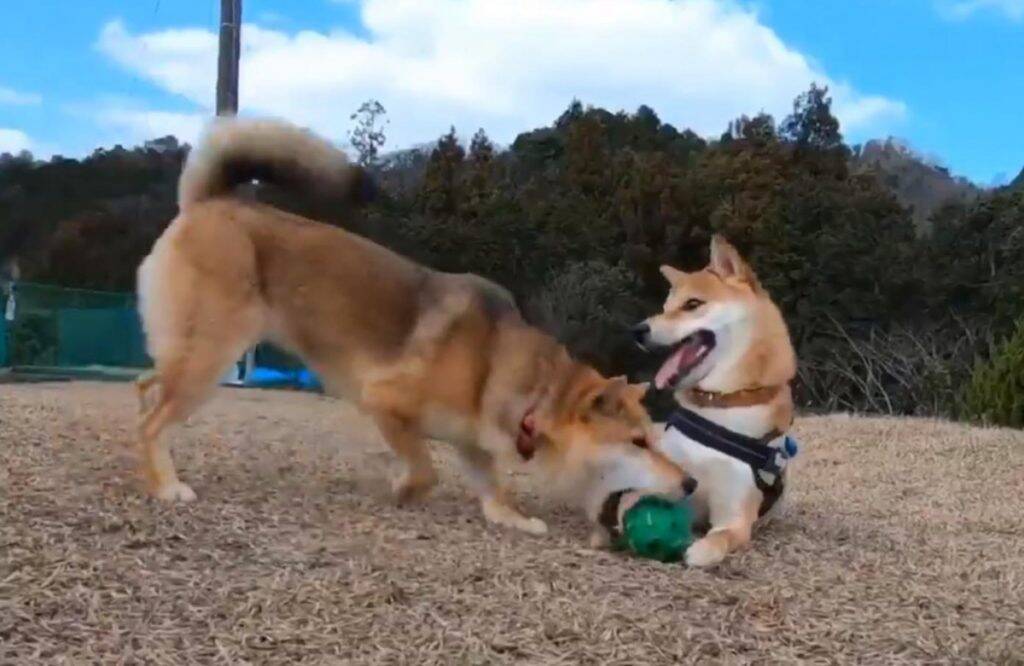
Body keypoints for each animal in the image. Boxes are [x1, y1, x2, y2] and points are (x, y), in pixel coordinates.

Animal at [134, 117, 696, 532]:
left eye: (654, 438)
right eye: (639, 443)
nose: (690, 485)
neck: (525, 387)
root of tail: (210, 203)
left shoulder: (473, 442)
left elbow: (493, 488)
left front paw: (512, 517)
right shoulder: (386, 402)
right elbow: (425, 470)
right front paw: (402, 490)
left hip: (193, 353)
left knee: (146, 386)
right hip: (212, 356)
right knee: (154, 420)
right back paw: (164, 484)